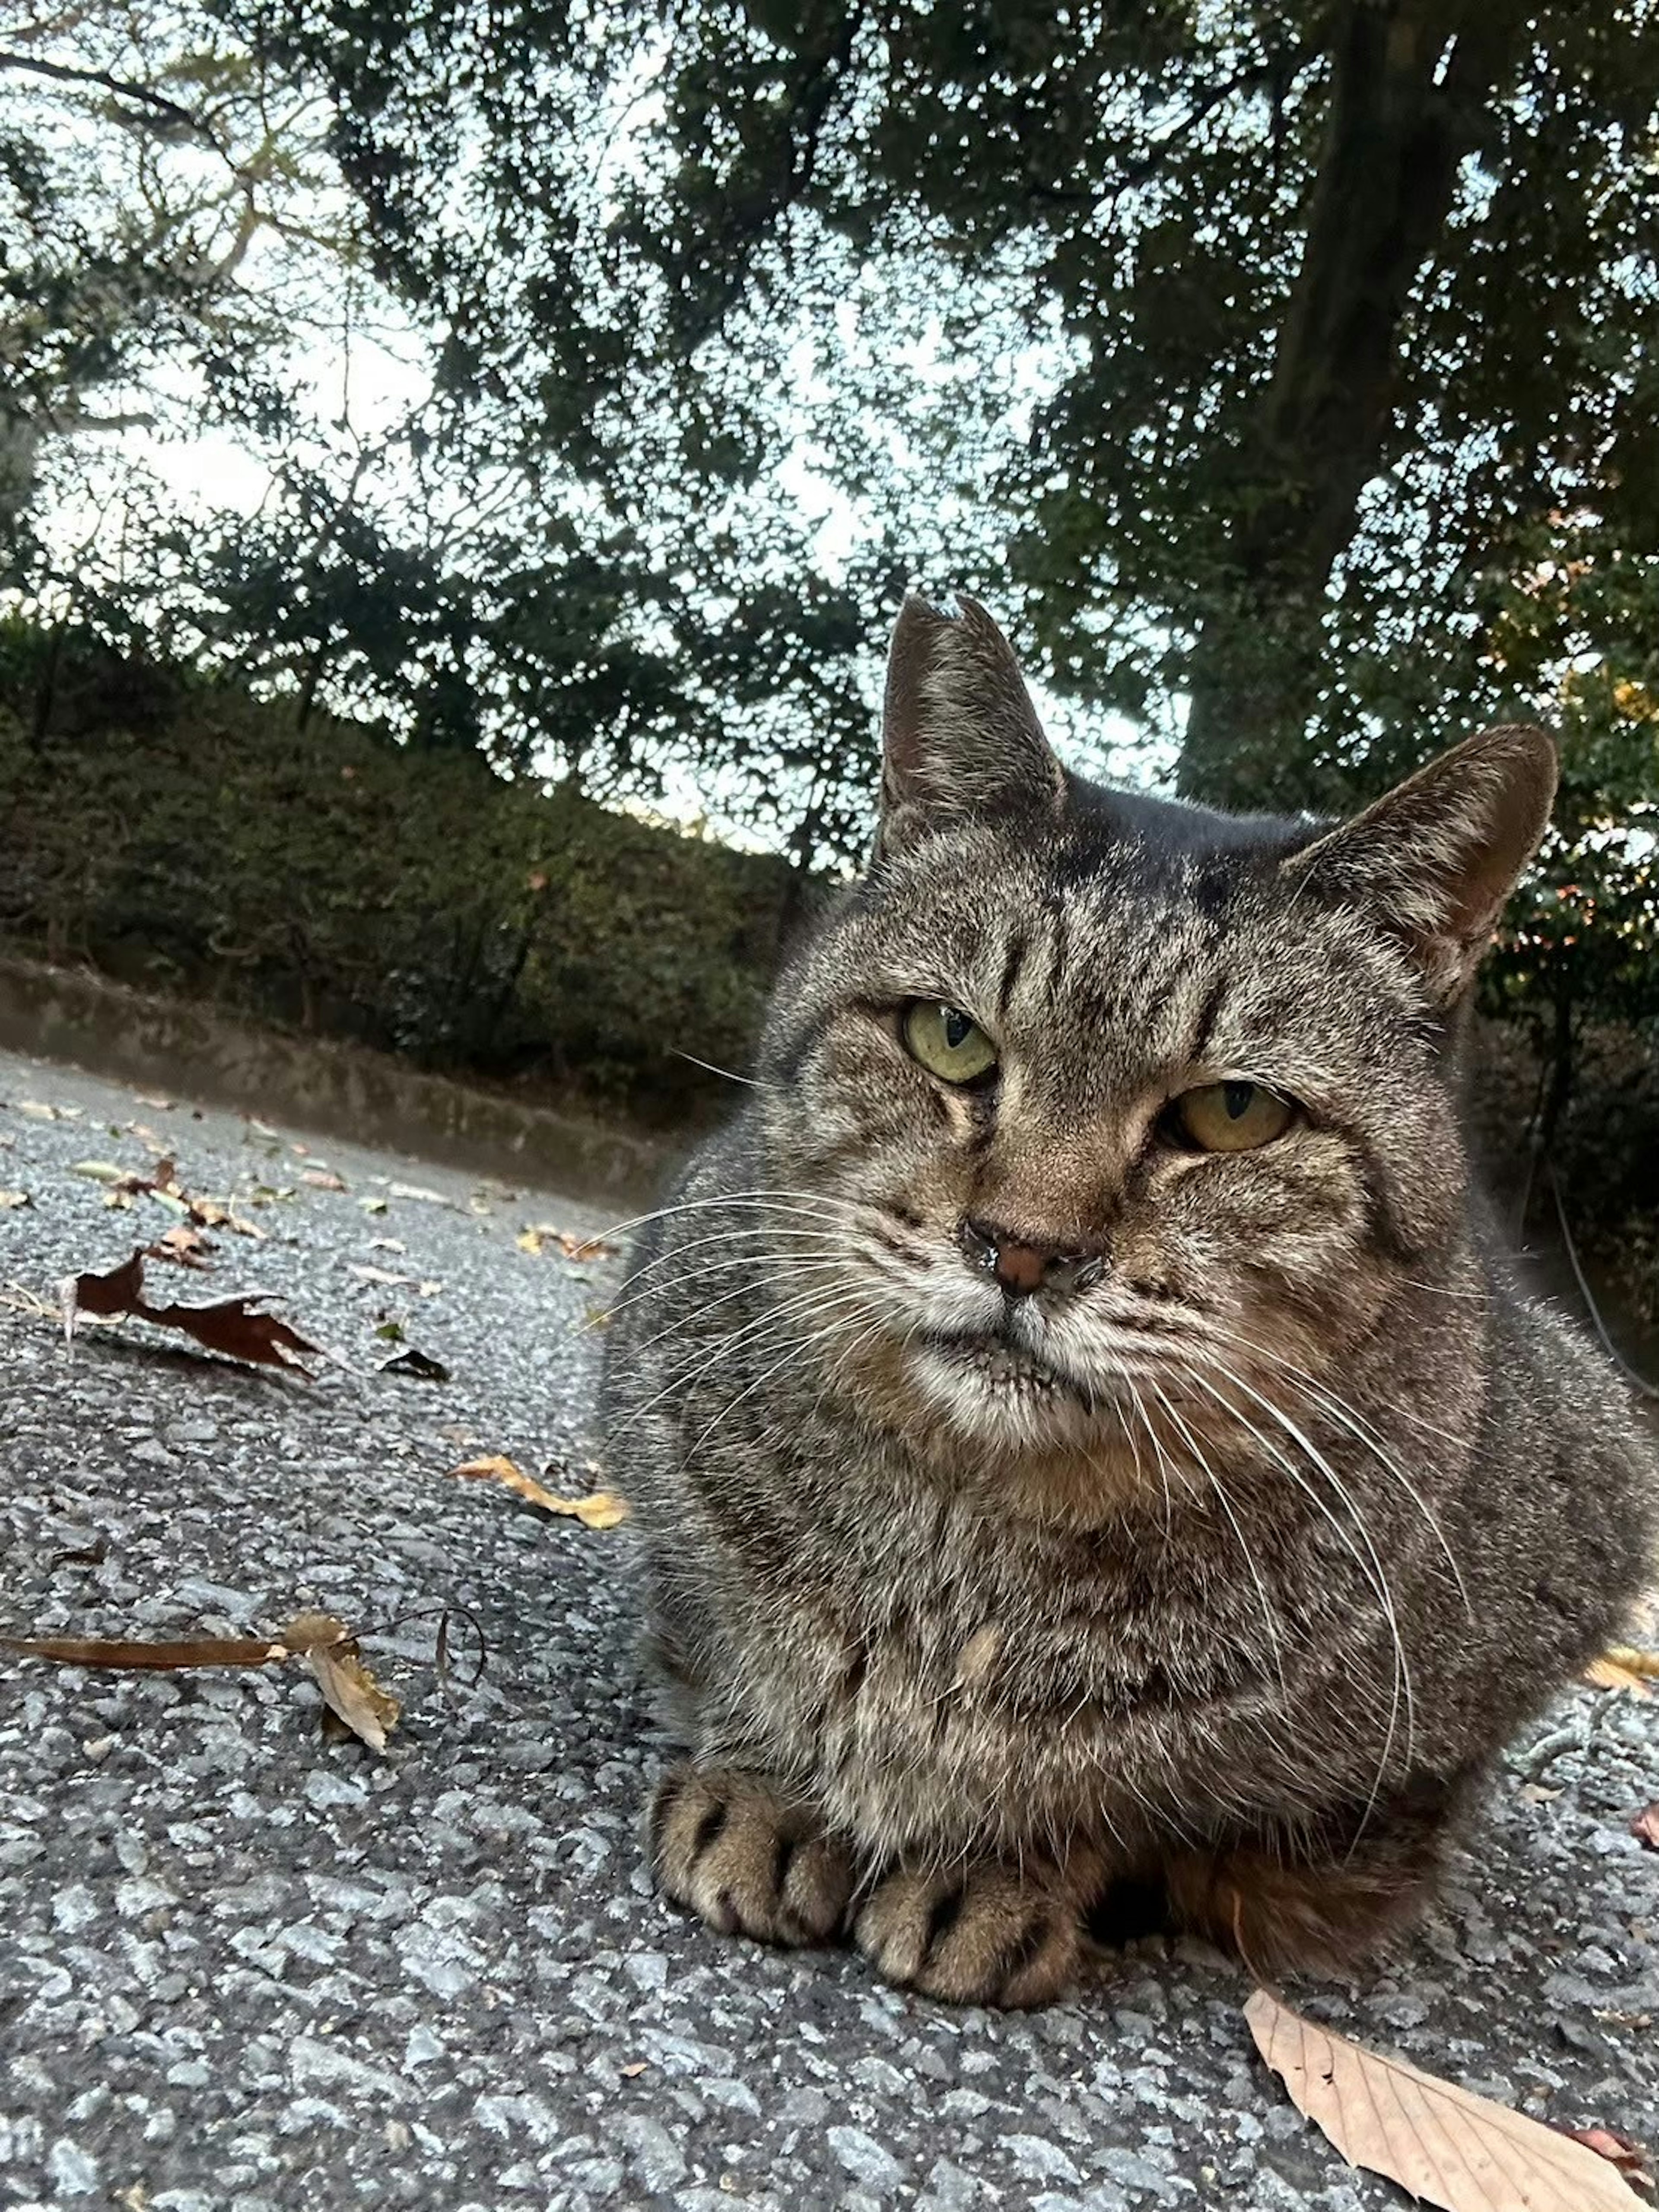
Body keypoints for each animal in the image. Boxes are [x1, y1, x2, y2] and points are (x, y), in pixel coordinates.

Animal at [601, 601, 1659, 2008]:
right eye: (949, 1038)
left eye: (1234, 1112)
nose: (1021, 1250)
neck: (967, 1549)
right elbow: (734, 1649)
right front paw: (771, 1786)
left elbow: (1152, 1807)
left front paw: (999, 1867)